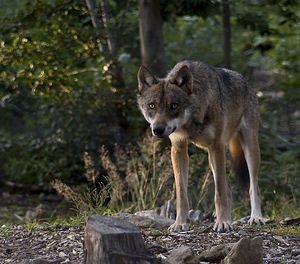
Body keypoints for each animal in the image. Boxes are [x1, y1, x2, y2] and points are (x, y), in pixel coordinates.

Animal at [137, 59, 264, 231]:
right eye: (151, 105)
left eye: (173, 106)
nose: (157, 129)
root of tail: (246, 83)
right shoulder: (178, 149)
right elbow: (181, 194)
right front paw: (179, 223)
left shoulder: (217, 146)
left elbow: (219, 193)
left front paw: (223, 223)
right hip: (212, 158)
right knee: (229, 190)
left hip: (249, 149)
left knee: (253, 187)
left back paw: (256, 217)